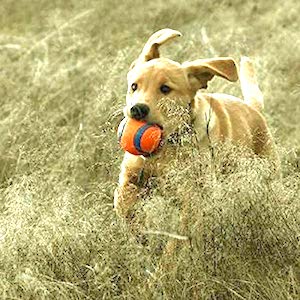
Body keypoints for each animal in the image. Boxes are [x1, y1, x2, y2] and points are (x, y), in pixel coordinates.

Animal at [113, 28, 278, 220]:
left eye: (165, 89)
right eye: (134, 86)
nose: (137, 109)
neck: (166, 150)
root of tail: (253, 108)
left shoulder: (193, 190)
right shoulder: (131, 176)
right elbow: (125, 201)